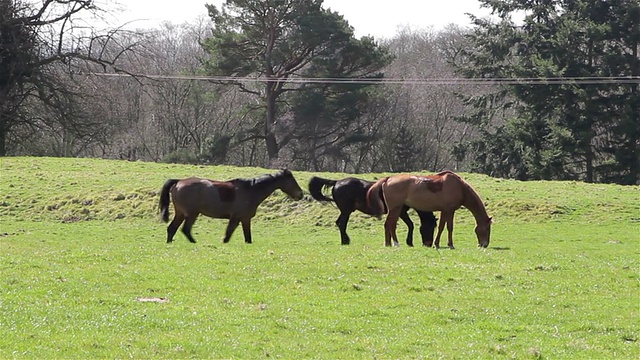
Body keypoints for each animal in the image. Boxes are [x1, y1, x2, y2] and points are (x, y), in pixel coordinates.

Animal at [158, 169, 302, 243]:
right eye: (292, 181)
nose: (300, 194)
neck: (251, 190)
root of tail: (179, 182)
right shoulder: (237, 218)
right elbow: (228, 235)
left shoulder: (244, 219)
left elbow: (247, 237)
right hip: (192, 214)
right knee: (185, 229)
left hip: (181, 213)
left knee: (172, 229)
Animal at [308, 176, 438, 246]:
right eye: (430, 227)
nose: (428, 244)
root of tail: (337, 182)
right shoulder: (401, 212)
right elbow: (410, 225)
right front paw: (409, 242)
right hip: (346, 211)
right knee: (342, 224)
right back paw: (346, 241)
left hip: (345, 211)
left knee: (339, 223)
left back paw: (344, 240)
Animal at [364, 171, 496, 248]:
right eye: (487, 229)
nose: (484, 244)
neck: (460, 187)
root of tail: (388, 179)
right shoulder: (448, 210)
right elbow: (445, 227)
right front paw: (441, 244)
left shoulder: (447, 211)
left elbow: (446, 226)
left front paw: (445, 244)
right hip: (395, 208)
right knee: (390, 225)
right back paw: (395, 244)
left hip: (396, 209)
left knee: (390, 225)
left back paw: (389, 244)